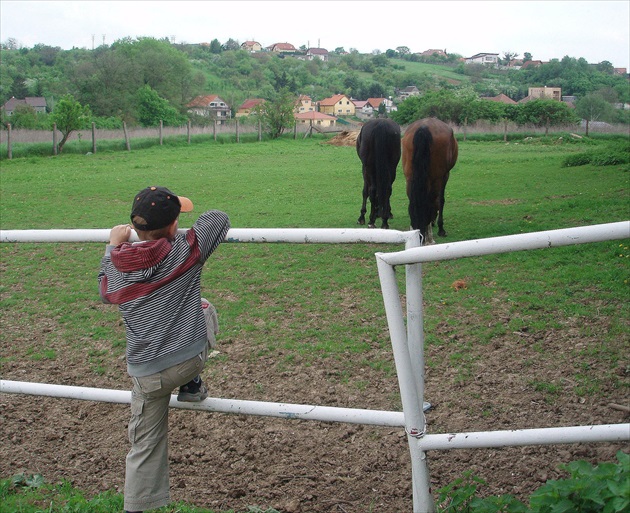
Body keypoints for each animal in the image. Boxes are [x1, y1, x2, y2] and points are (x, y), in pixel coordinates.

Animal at [404, 116, 460, 244]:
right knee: (430, 202)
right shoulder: (445, 176)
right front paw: (440, 229)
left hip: (409, 178)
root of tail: (424, 127)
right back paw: (428, 237)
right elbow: (441, 200)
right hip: (437, 179)